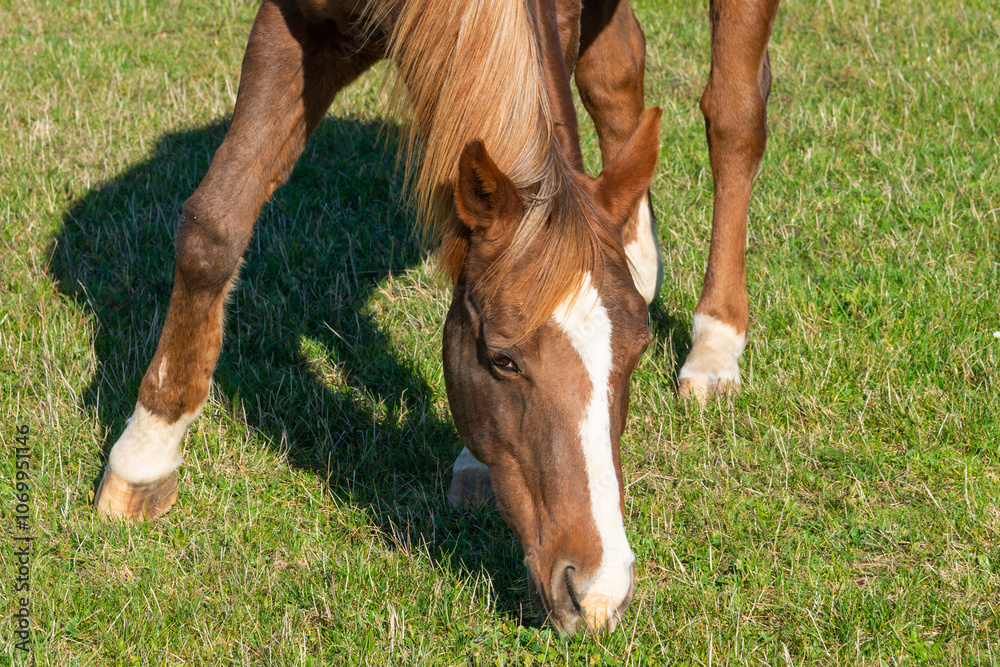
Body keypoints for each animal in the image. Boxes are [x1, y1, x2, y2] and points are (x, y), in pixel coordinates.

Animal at [93, 0, 779, 636]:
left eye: (637, 355)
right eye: (502, 358)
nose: (596, 594)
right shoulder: (295, 24)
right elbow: (215, 224)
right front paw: (147, 453)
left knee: (733, 115)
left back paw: (715, 345)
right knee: (618, 72)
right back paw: (639, 253)